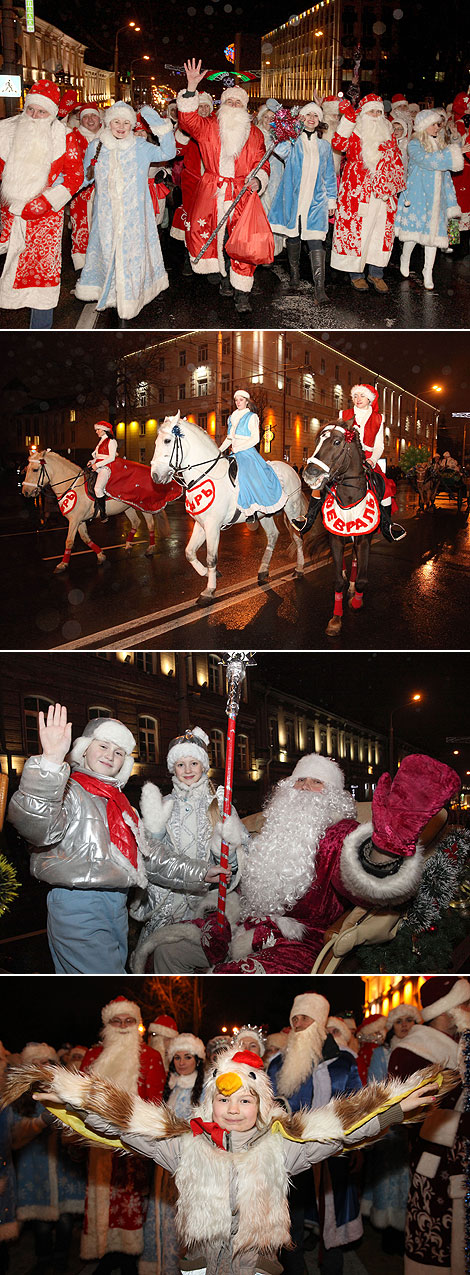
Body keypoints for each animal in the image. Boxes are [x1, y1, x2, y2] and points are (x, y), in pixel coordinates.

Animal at [22, 446, 174, 571]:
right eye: (27, 469)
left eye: (35, 469)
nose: (25, 492)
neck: (72, 485)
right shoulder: (79, 520)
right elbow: (85, 538)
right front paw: (100, 555)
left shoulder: (74, 520)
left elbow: (69, 541)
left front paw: (62, 564)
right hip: (128, 507)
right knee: (136, 522)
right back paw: (128, 544)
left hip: (144, 506)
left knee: (150, 524)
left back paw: (150, 548)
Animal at [148, 413, 305, 601]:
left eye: (167, 441)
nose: (155, 476)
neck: (206, 475)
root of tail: (291, 469)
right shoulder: (201, 525)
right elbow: (189, 552)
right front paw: (208, 574)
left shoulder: (212, 527)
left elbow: (211, 558)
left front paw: (209, 591)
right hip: (265, 515)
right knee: (273, 536)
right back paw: (263, 570)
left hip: (292, 511)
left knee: (298, 538)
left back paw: (299, 569)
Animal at [301, 420, 379, 634]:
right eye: (317, 440)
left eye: (336, 442)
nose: (309, 474)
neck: (349, 498)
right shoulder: (335, 538)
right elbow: (337, 582)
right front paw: (336, 620)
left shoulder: (364, 539)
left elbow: (361, 579)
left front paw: (357, 602)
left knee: (355, 562)